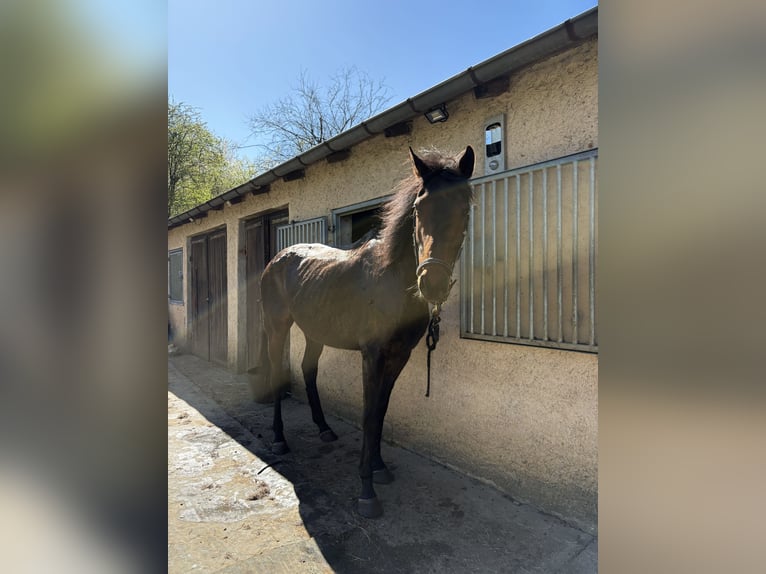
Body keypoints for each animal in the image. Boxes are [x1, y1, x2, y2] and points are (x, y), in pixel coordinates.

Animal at [259, 145, 475, 518]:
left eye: (464, 207)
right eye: (419, 208)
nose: (431, 284)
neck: (391, 280)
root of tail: (277, 258)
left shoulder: (398, 356)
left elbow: (381, 410)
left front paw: (379, 466)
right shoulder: (372, 356)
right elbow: (368, 412)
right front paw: (366, 490)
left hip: (315, 331)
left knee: (308, 370)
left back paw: (324, 429)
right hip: (277, 328)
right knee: (278, 374)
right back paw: (279, 440)